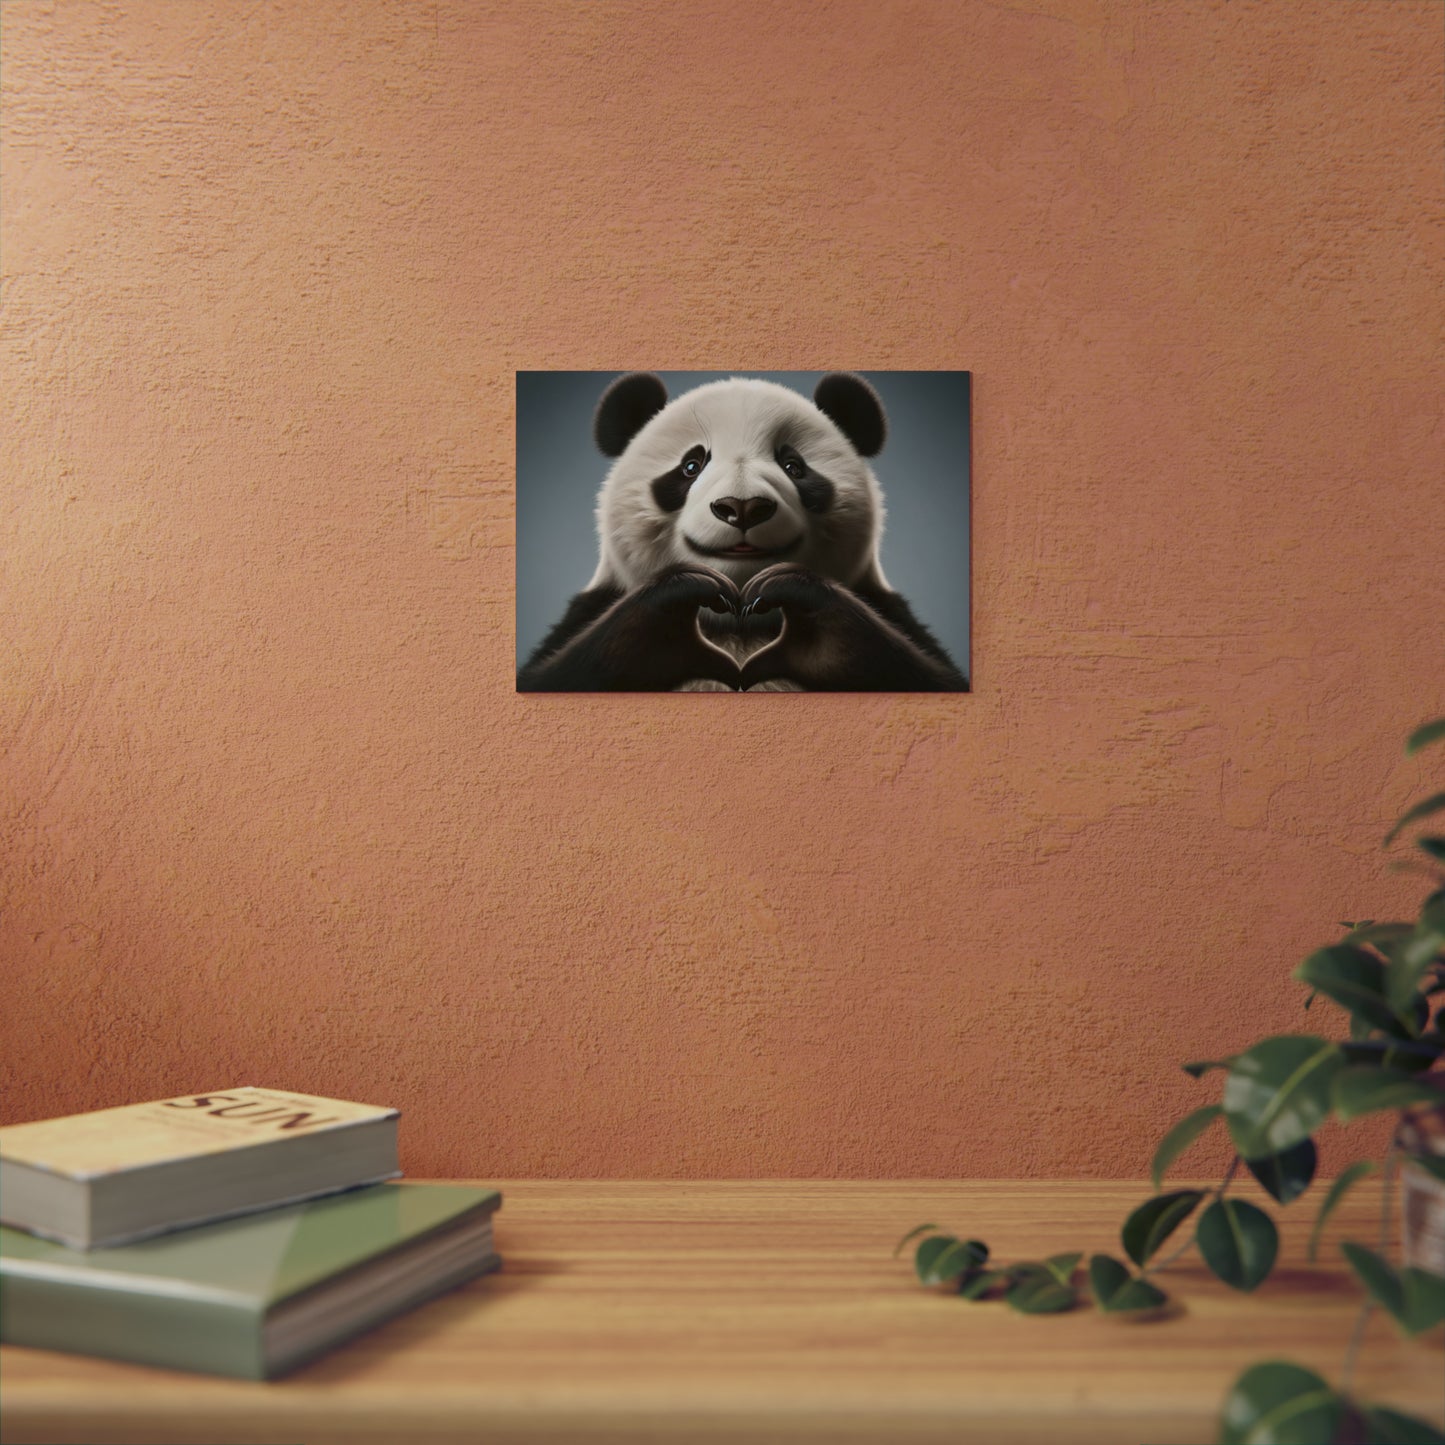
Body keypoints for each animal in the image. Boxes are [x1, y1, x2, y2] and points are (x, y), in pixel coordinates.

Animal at [517, 372, 969, 692]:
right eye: (691, 465)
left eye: (794, 466)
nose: (742, 507)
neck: (738, 624)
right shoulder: (590, 610)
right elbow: (557, 675)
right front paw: (677, 606)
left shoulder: (888, 610)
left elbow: (922, 674)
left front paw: (801, 609)